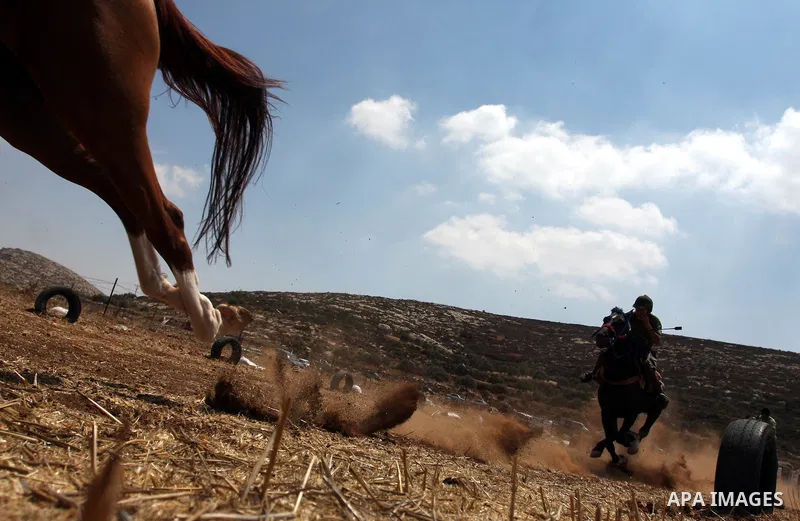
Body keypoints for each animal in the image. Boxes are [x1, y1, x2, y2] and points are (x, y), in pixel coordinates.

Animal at [0, 0, 284, 342]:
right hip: (30, 118)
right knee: (133, 205)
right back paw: (211, 311)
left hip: (96, 100)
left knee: (161, 216)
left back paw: (209, 319)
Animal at [580, 307, 669, 466]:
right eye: (605, 319)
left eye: (620, 322)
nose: (601, 337)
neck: (620, 376)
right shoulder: (607, 412)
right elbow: (612, 436)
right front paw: (613, 456)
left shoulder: (631, 414)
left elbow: (618, 436)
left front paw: (628, 442)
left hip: (655, 408)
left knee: (645, 429)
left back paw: (634, 443)